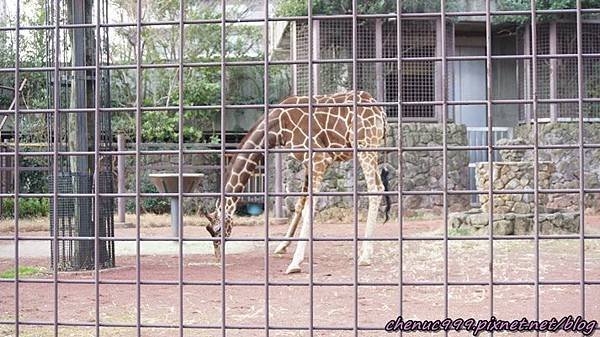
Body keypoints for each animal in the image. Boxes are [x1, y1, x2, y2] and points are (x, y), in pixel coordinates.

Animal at [202, 90, 390, 272]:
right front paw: (282, 246)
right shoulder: (308, 163)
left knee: (374, 189)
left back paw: (365, 257)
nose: (218, 257)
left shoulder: (319, 159)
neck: (277, 128)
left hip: (365, 145)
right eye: (209, 230)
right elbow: (300, 205)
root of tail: (381, 113)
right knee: (380, 186)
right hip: (372, 148)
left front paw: (294, 263)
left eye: (218, 229)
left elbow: (308, 209)